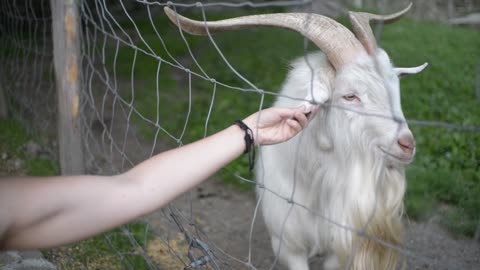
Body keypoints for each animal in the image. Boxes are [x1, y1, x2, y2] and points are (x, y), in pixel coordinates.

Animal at [165, 4, 428, 270]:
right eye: (350, 96)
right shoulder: (287, 244)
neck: (312, 186)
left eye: (396, 89)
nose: (407, 144)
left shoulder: (338, 246)